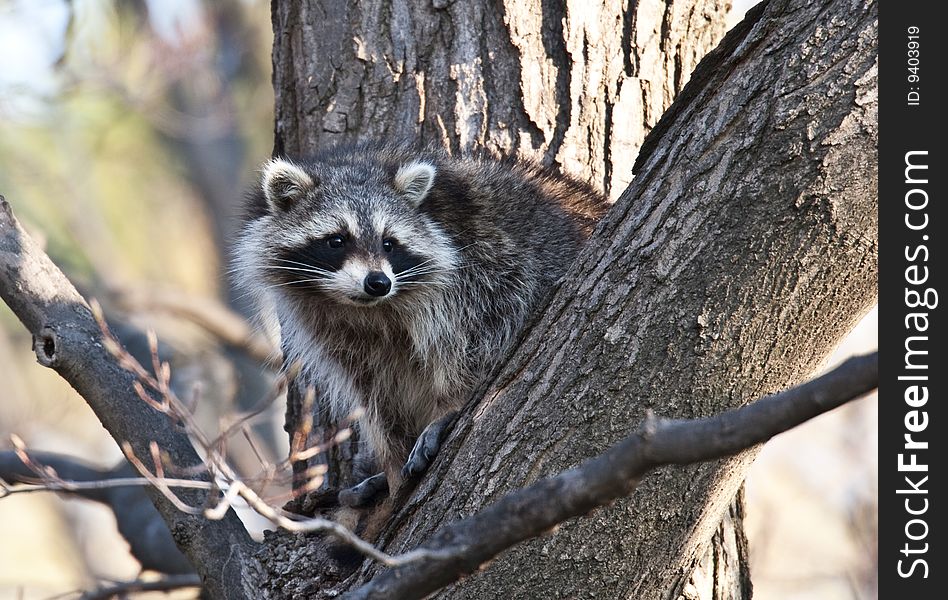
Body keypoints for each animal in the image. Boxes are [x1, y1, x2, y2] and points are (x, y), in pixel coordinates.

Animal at [233, 145, 612, 506]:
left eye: (389, 243)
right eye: (337, 240)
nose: (378, 282)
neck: (369, 308)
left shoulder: (484, 273)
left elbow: (477, 343)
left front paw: (451, 405)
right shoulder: (331, 328)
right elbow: (373, 391)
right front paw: (391, 456)